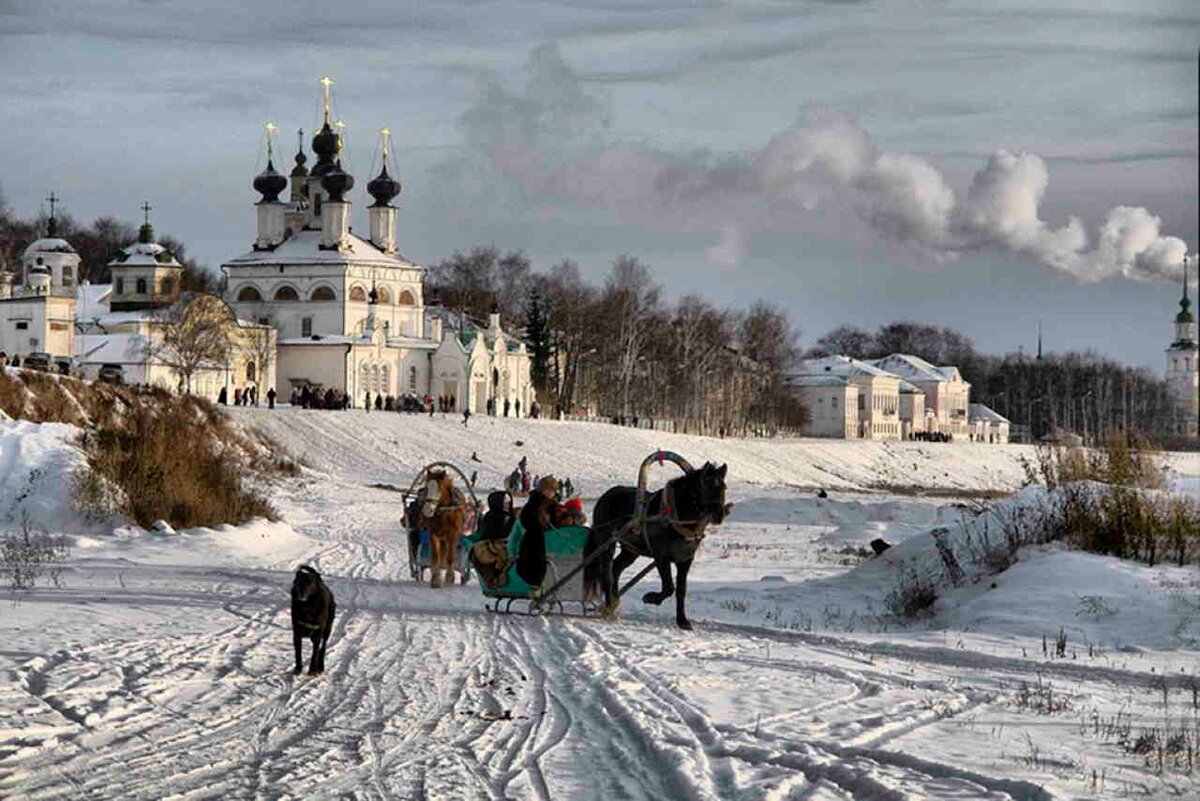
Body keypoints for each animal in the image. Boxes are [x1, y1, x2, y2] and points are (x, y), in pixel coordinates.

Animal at [583, 460, 724, 628]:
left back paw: (614, 601)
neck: (676, 518)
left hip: (631, 550)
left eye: (723, 487)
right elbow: (669, 587)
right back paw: (609, 606)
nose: (719, 515)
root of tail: (605, 496)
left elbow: (681, 590)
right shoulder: (661, 556)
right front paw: (651, 598)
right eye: (707, 485)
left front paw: (682, 621)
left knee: (616, 568)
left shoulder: (685, 560)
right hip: (606, 543)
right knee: (606, 572)